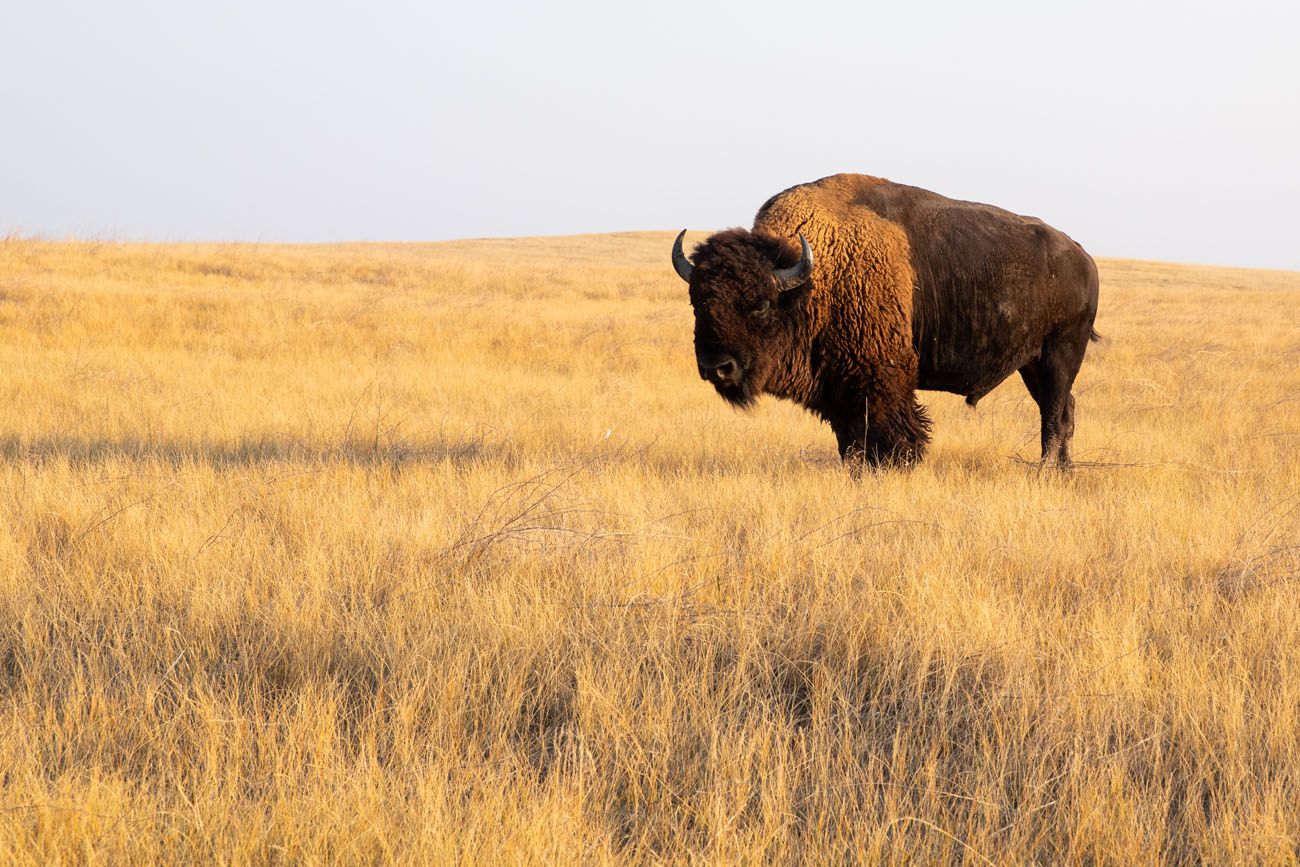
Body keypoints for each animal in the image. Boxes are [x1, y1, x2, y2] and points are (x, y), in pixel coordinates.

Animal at [676, 174, 1102, 470]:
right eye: (698, 302)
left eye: (762, 305)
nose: (717, 367)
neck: (814, 280)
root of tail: (1083, 258)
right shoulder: (841, 388)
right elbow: (851, 442)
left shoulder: (879, 379)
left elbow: (891, 435)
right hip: (1033, 364)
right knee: (1063, 409)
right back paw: (1062, 471)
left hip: (1060, 354)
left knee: (1054, 416)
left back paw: (1047, 471)